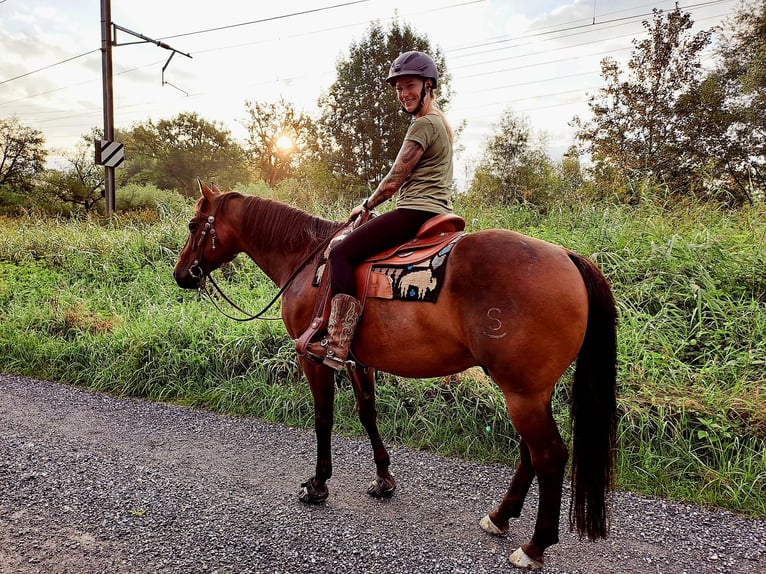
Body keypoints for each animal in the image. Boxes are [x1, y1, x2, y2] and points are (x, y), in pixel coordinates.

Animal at [174, 182, 616, 568]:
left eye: (194, 225)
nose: (181, 275)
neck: (307, 259)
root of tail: (567, 256)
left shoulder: (312, 360)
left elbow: (323, 418)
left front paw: (318, 484)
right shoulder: (358, 361)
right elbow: (368, 413)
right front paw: (384, 479)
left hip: (522, 392)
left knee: (550, 455)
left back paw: (534, 545)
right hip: (528, 391)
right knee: (530, 454)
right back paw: (500, 516)